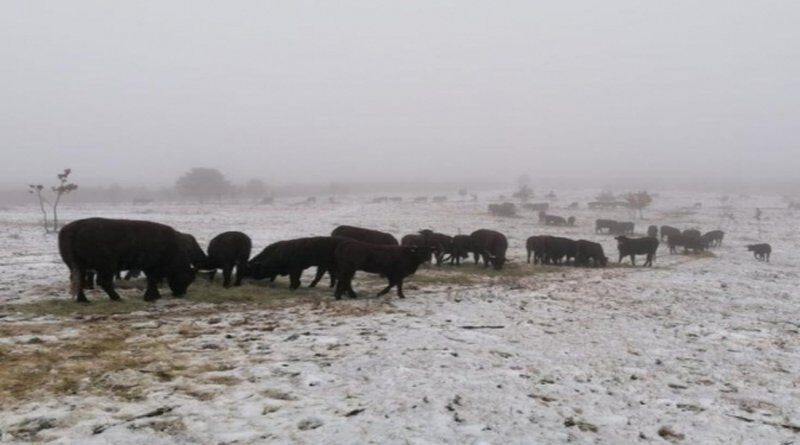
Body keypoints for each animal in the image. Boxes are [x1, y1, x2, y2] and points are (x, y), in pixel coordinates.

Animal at [57, 218, 195, 302]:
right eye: (186, 278)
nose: (181, 293)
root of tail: (74, 229)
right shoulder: (152, 267)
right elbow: (152, 280)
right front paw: (151, 296)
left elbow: (151, 280)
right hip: (107, 266)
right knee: (103, 282)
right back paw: (117, 298)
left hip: (80, 267)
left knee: (79, 280)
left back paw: (83, 300)